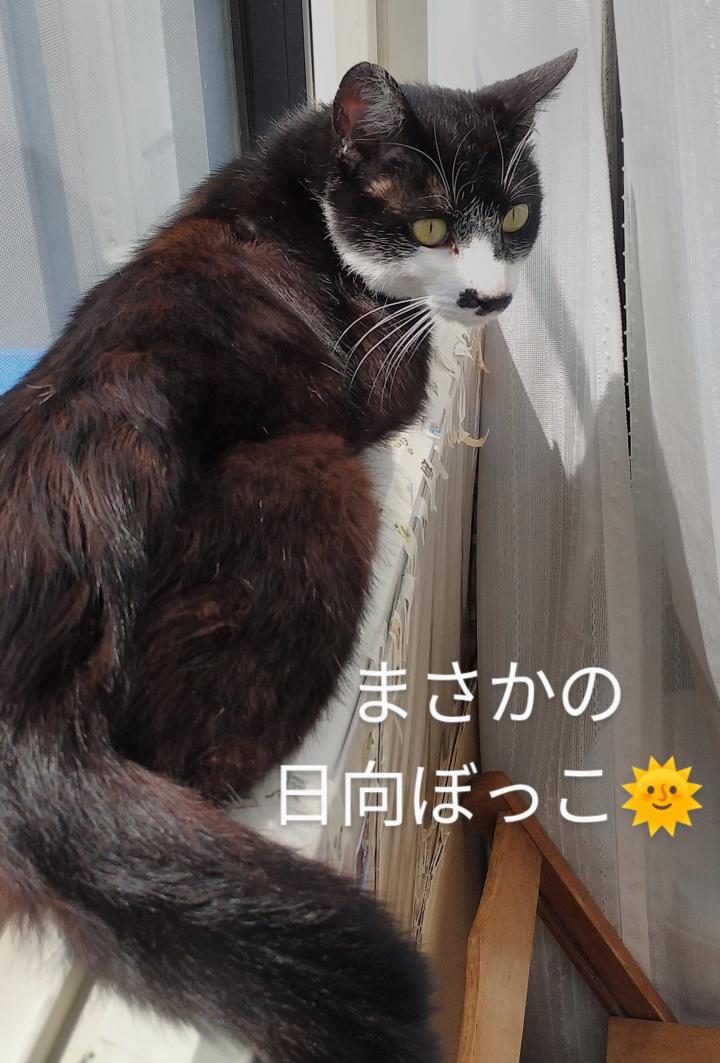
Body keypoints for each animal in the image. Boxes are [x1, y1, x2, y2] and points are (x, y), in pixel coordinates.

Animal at [0, 51, 576, 1063]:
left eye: (513, 218)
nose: (493, 300)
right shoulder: (382, 362)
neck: (301, 184)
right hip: (313, 473)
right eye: (430, 224)